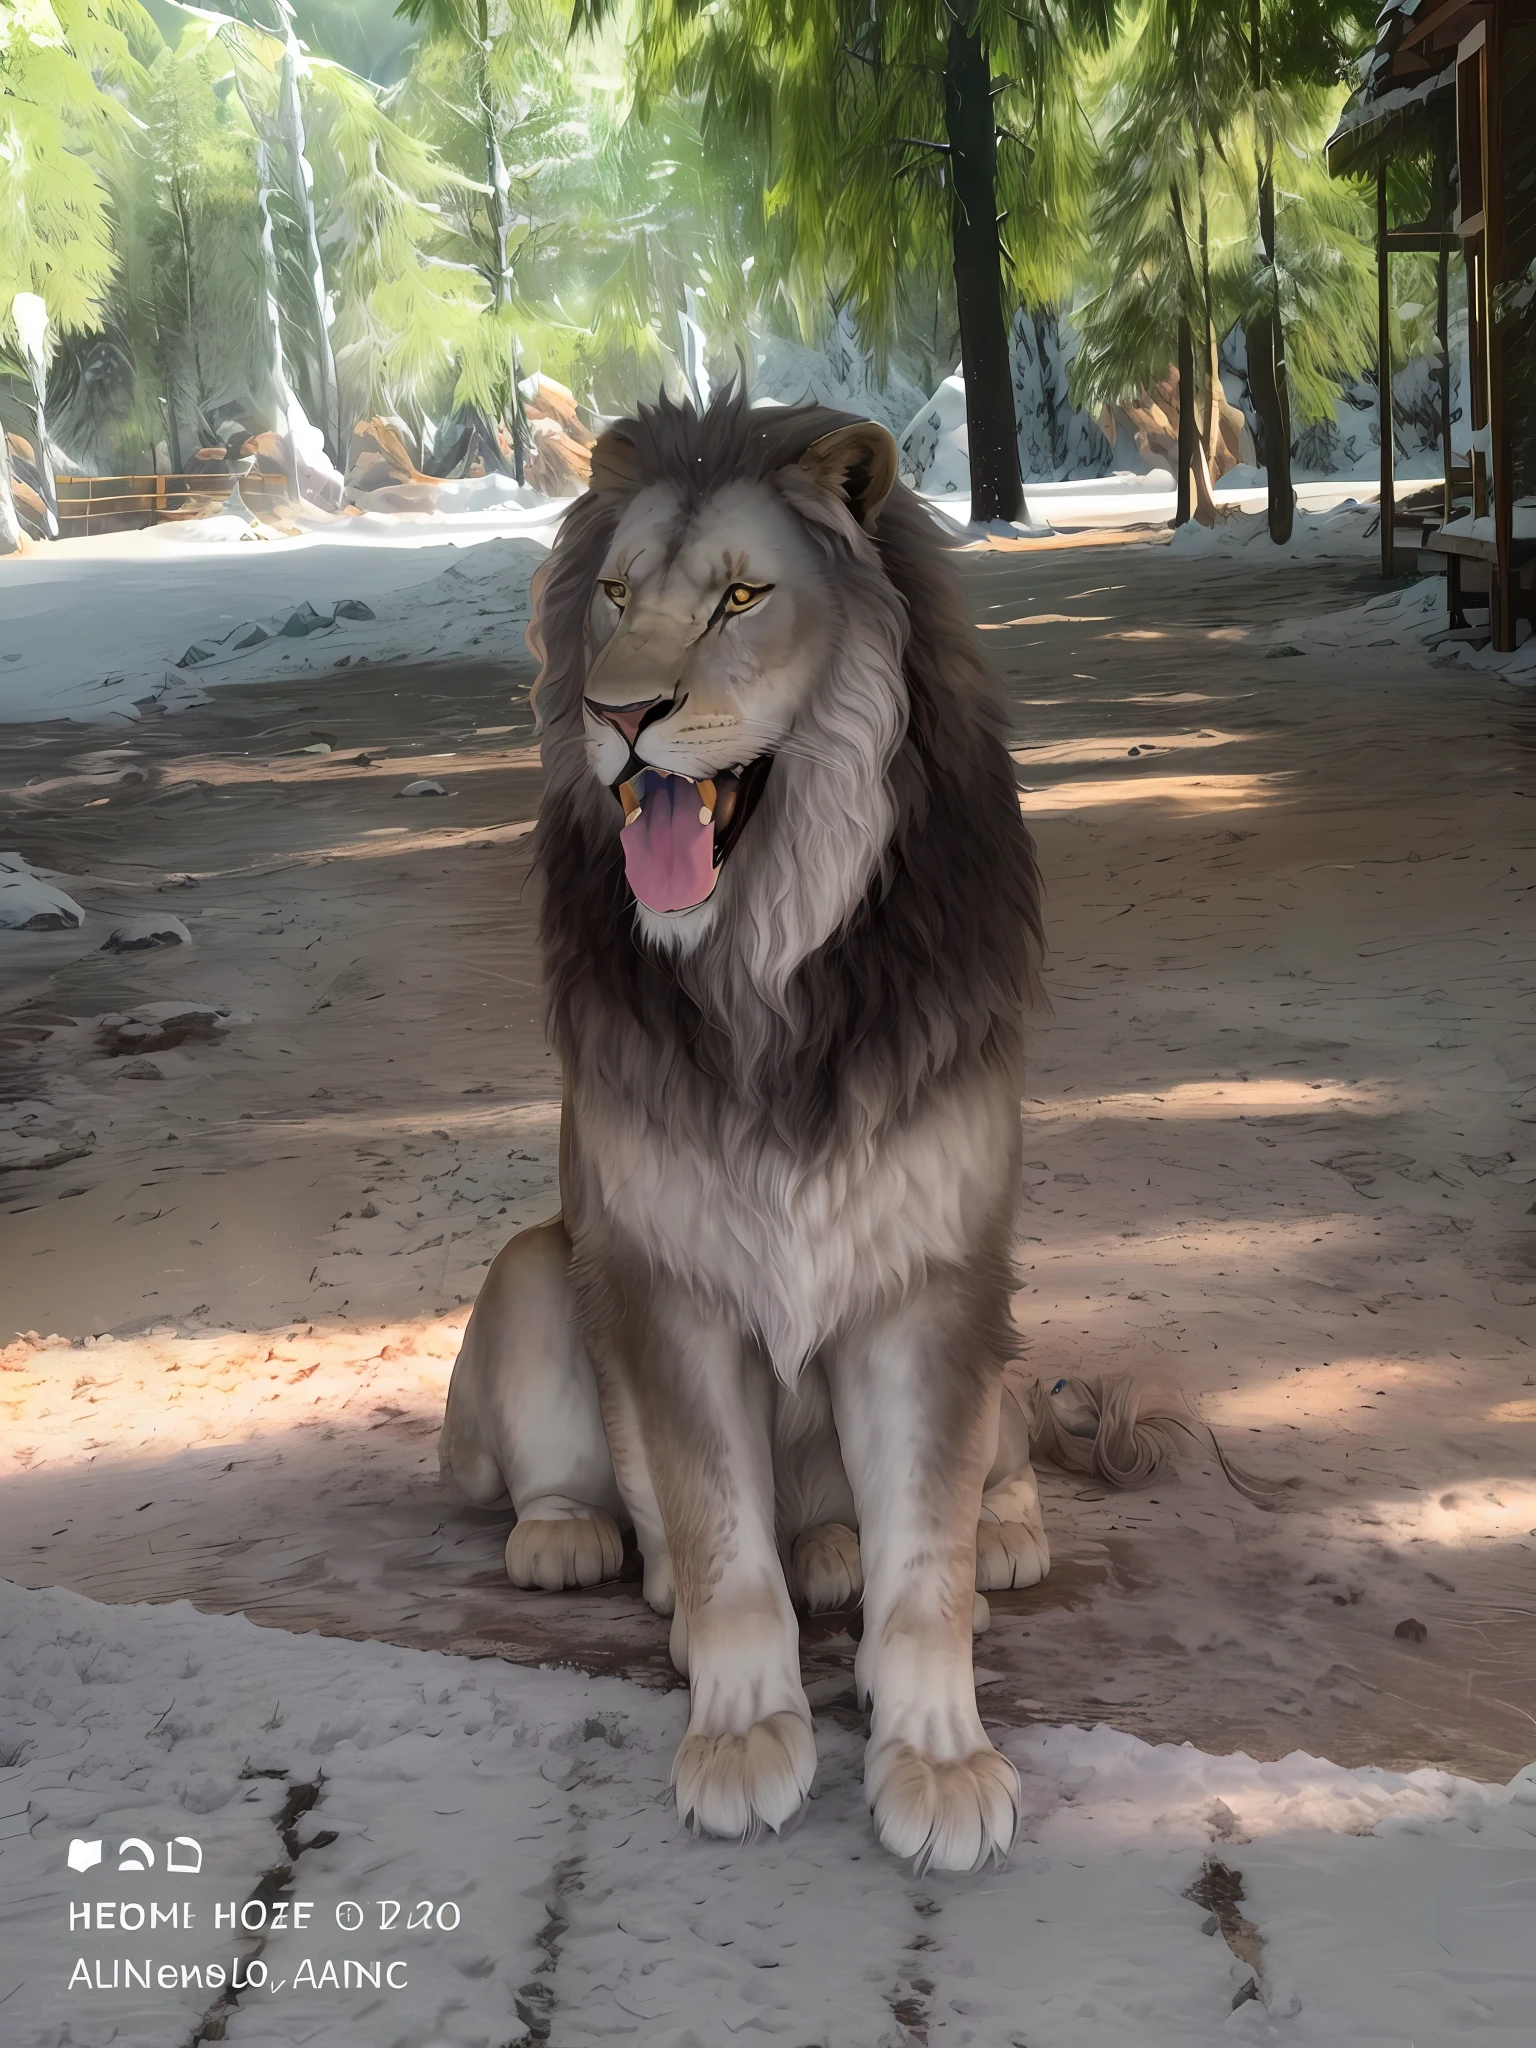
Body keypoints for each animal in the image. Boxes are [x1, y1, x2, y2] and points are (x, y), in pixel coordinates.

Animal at [438, 387, 1056, 1875]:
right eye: (613, 596)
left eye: (740, 596)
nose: (617, 713)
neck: (764, 965)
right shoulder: (667, 1281)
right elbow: (723, 1548)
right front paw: (740, 1734)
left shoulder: (936, 1277)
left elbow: (924, 1559)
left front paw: (938, 1757)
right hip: (538, 1264)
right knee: (602, 1496)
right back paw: (582, 1543)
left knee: (979, 1485)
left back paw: (977, 1539)